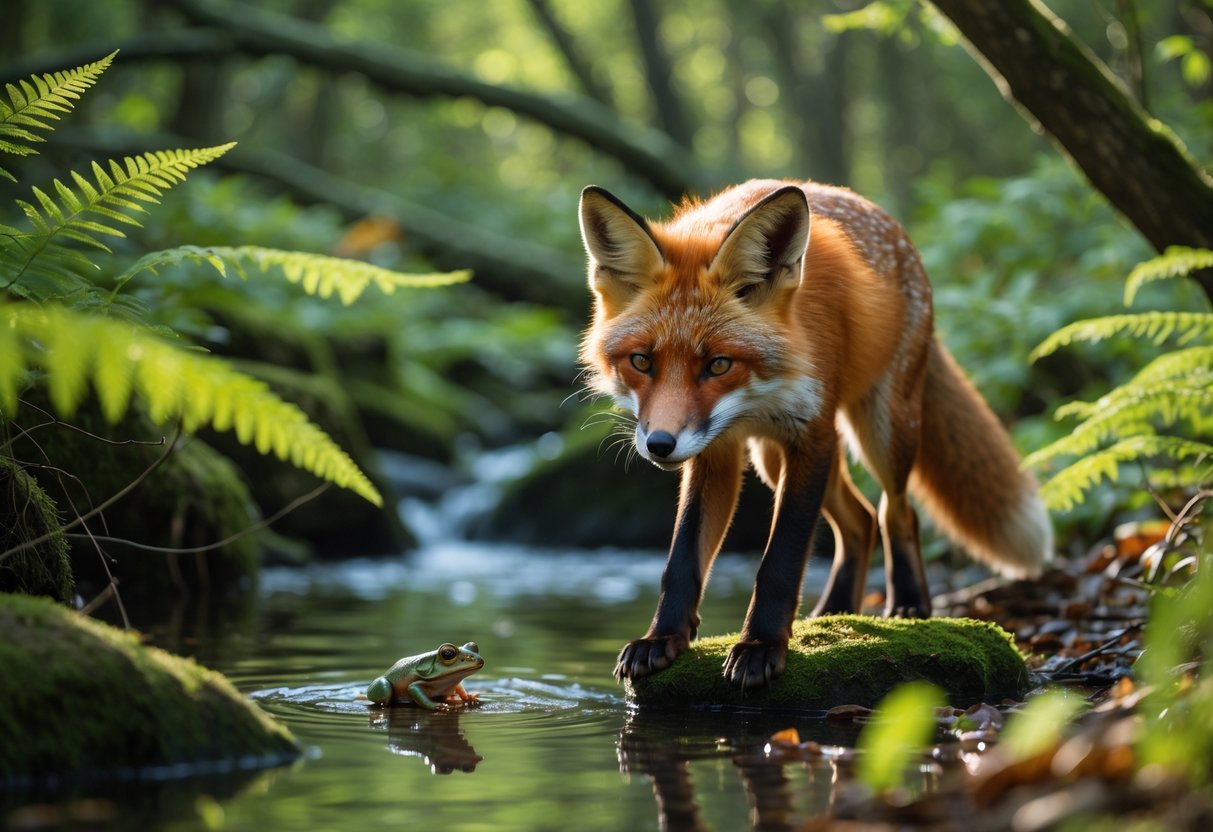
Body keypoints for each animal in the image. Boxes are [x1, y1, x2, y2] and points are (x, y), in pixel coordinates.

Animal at [578, 179, 1053, 690]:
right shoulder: (715, 451)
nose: (660, 445)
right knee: (860, 521)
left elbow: (781, 561)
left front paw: (762, 645)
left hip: (884, 431)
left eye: (719, 364)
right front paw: (663, 637)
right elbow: (682, 560)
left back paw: (909, 604)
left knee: (896, 512)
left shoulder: (813, 437)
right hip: (771, 459)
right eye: (642, 361)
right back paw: (836, 612)